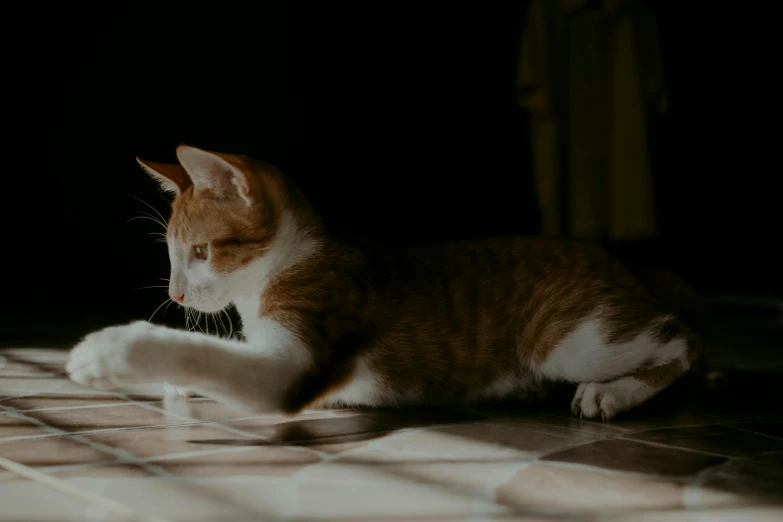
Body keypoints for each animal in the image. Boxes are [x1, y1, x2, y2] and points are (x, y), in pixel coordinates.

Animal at [67, 144, 704, 420]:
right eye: (172, 255)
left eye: (200, 252)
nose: (174, 294)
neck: (280, 268)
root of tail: (626, 265)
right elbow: (221, 352)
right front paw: (175, 382)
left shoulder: (297, 359)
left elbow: (208, 353)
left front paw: (114, 349)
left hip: (568, 340)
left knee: (680, 342)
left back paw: (612, 393)